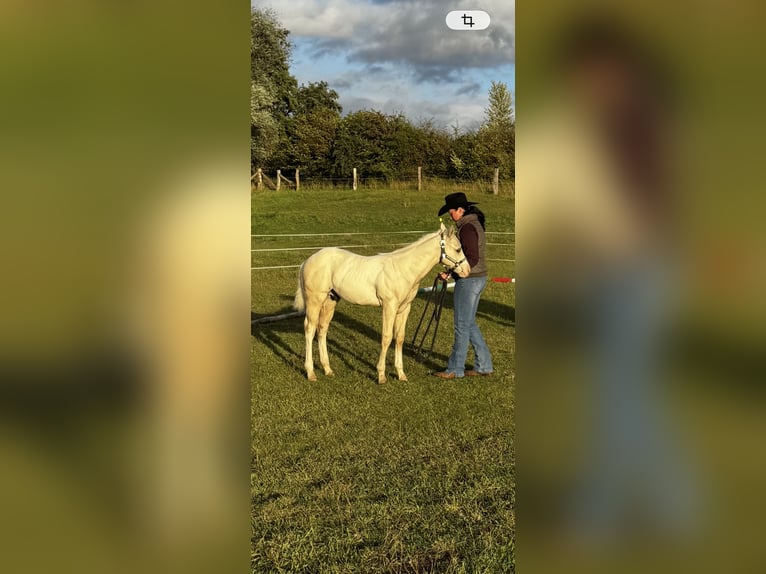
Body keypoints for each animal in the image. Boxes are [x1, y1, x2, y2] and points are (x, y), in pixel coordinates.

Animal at [294, 222, 471, 384]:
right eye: (457, 249)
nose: (467, 270)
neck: (403, 269)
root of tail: (307, 261)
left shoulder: (404, 308)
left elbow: (399, 338)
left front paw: (401, 374)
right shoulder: (389, 306)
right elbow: (386, 338)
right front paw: (381, 375)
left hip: (330, 301)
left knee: (322, 329)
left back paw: (327, 369)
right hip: (315, 301)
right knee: (310, 329)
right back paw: (311, 372)